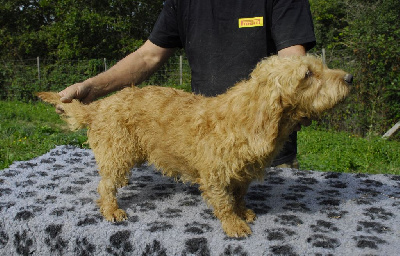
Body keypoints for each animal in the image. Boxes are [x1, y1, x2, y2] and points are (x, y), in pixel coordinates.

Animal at [36, 55, 350, 237]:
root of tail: (99, 107)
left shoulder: (241, 175)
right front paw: (234, 225)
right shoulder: (215, 176)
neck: (248, 116)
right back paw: (112, 210)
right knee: (105, 186)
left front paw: (243, 211)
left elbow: (238, 196)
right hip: (118, 154)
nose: (349, 78)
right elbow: (224, 203)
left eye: (320, 66)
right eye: (307, 74)